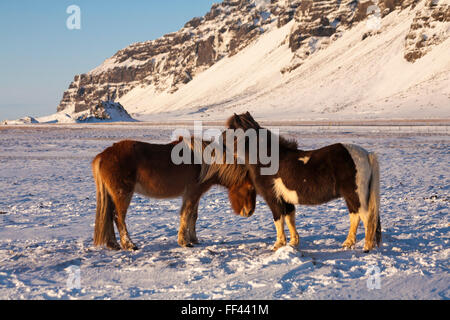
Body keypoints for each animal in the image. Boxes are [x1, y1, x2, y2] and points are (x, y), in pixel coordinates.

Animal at [90, 136, 256, 251]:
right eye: (249, 188)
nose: (249, 212)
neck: (205, 164)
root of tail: (102, 156)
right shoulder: (192, 194)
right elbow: (186, 214)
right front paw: (184, 242)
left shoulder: (195, 195)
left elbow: (193, 216)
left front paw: (194, 239)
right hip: (123, 194)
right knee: (119, 218)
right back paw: (129, 245)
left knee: (109, 216)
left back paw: (113, 244)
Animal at [227, 112, 382, 252]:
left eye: (230, 129)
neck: (268, 159)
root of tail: (366, 155)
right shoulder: (286, 200)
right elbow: (289, 218)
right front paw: (293, 243)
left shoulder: (273, 199)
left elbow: (278, 219)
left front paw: (278, 245)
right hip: (351, 197)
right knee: (355, 216)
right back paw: (348, 244)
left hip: (356, 196)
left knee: (368, 218)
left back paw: (367, 247)